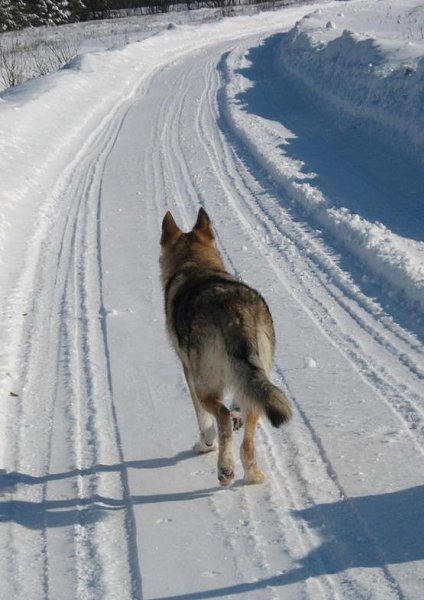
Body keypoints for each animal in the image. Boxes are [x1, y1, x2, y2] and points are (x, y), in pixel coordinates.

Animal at [160, 207, 292, 486]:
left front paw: (205, 445)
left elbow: (203, 420)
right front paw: (235, 416)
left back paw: (225, 468)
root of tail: (235, 312)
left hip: (206, 385)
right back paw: (251, 474)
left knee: (220, 416)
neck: (196, 265)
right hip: (258, 382)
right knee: (248, 438)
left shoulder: (188, 373)